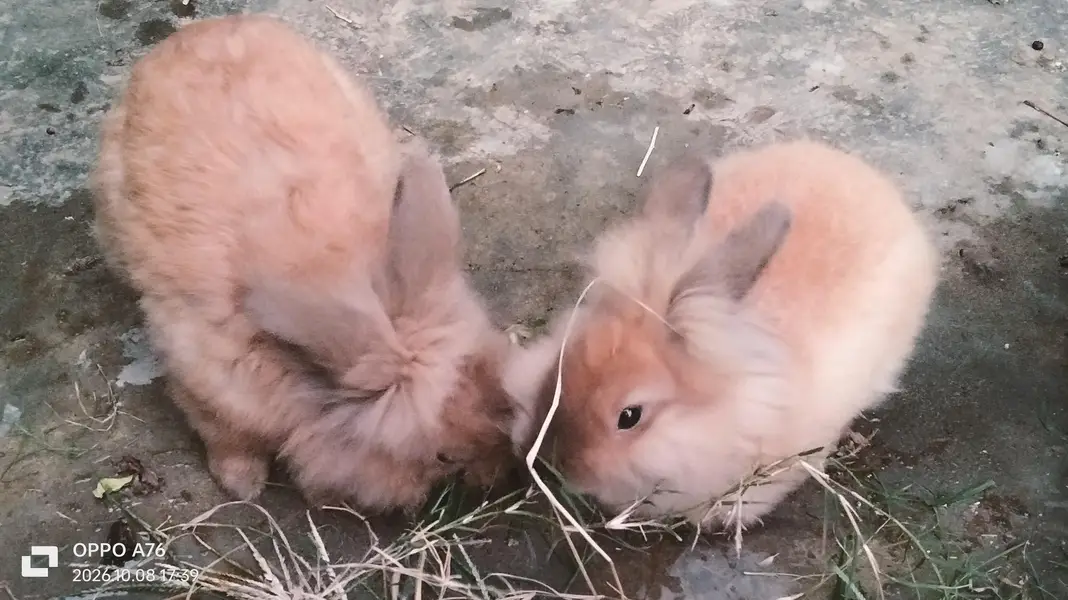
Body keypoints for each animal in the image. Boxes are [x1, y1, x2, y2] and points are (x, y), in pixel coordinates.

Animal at [90, 13, 518, 511]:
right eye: (442, 457)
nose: (498, 476)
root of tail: (197, 30)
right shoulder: (209, 386)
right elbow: (229, 438)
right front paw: (243, 484)